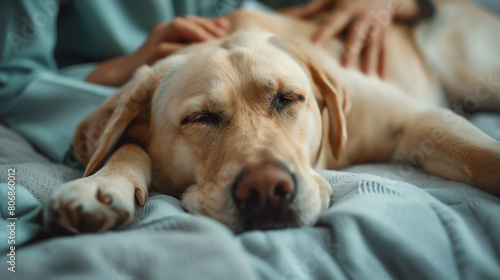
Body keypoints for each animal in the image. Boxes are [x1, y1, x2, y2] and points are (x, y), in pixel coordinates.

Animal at [43, 1, 500, 234]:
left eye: (289, 98)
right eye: (199, 118)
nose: (265, 189)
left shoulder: (420, 121)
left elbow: (480, 155)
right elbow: (127, 146)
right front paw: (102, 186)